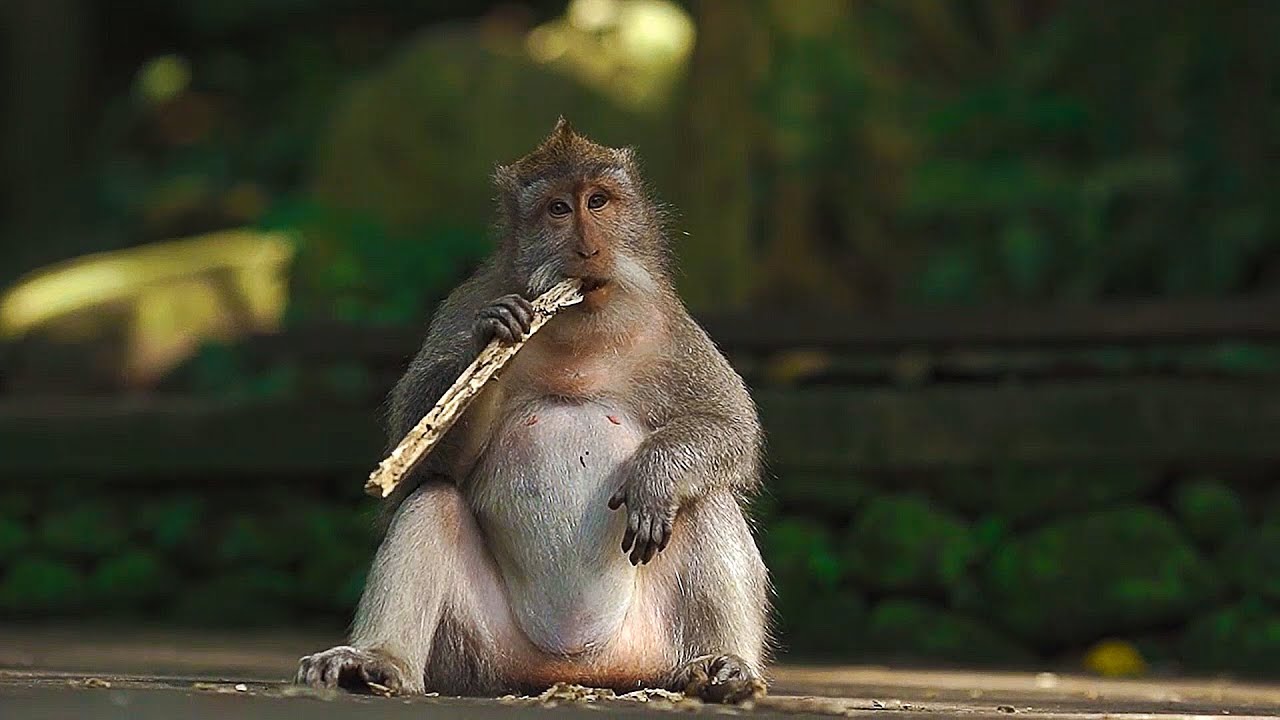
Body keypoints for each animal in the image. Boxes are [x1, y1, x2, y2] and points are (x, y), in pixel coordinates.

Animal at [295, 118, 772, 703]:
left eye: (598, 201)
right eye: (558, 209)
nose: (588, 249)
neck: (577, 327)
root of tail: (577, 670)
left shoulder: (669, 326)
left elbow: (729, 426)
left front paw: (656, 477)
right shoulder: (461, 310)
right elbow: (419, 463)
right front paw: (493, 346)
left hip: (653, 648)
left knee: (707, 500)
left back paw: (723, 665)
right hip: (477, 658)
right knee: (434, 502)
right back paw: (378, 661)